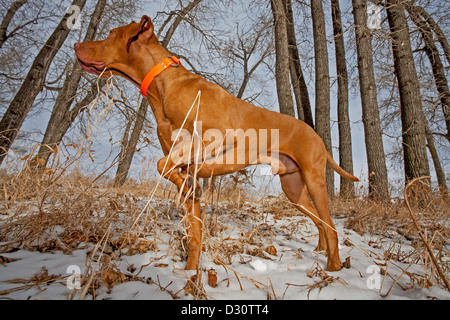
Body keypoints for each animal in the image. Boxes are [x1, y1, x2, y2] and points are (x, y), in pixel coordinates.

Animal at [74, 14, 358, 270]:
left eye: (111, 33)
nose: (76, 45)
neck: (164, 86)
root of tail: (317, 135)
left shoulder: (218, 137)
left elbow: (161, 163)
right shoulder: (187, 166)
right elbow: (194, 231)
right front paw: (191, 274)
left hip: (314, 179)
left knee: (331, 226)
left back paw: (333, 268)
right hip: (293, 189)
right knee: (320, 222)